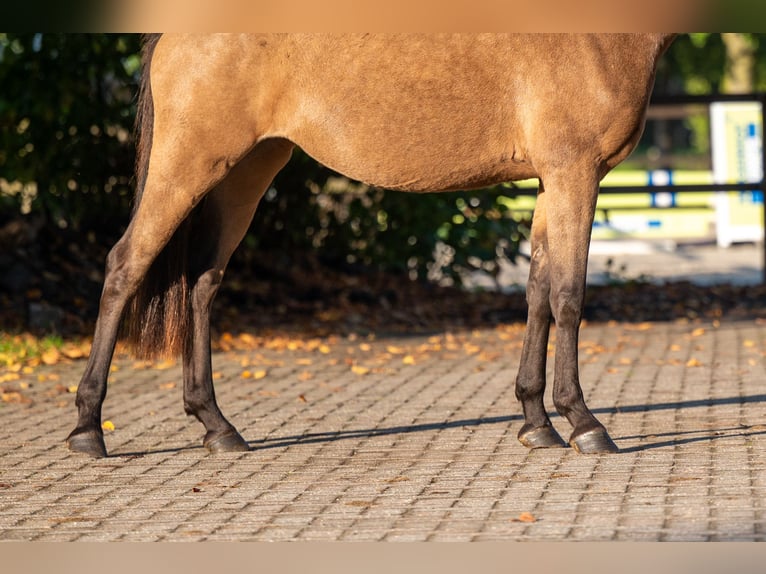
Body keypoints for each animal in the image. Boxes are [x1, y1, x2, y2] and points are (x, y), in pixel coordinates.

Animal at [67, 33, 676, 458]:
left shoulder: (552, 182)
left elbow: (538, 296)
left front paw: (536, 421)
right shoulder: (575, 174)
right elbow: (569, 298)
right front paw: (584, 424)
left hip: (245, 172)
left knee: (202, 283)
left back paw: (218, 427)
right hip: (188, 166)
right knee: (125, 266)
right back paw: (88, 430)